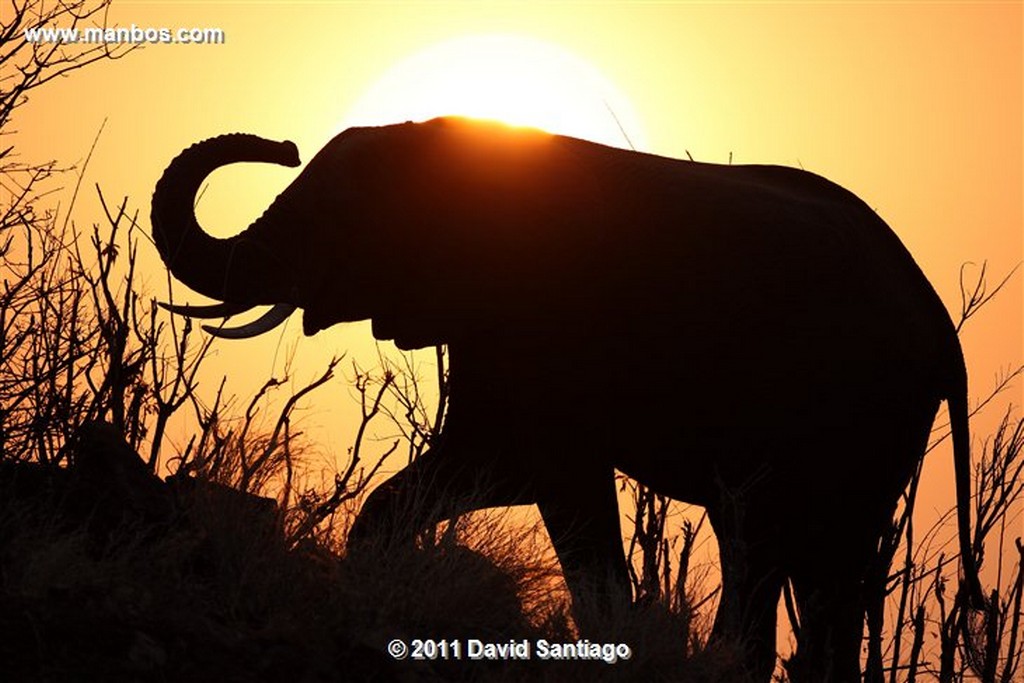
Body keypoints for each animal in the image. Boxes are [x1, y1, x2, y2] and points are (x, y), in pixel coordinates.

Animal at [151, 114, 983, 679]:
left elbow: (563, 487)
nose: (281, 145)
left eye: (334, 216)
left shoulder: (548, 326)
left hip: (859, 414)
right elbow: (475, 470)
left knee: (798, 547)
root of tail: (943, 329)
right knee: (784, 551)